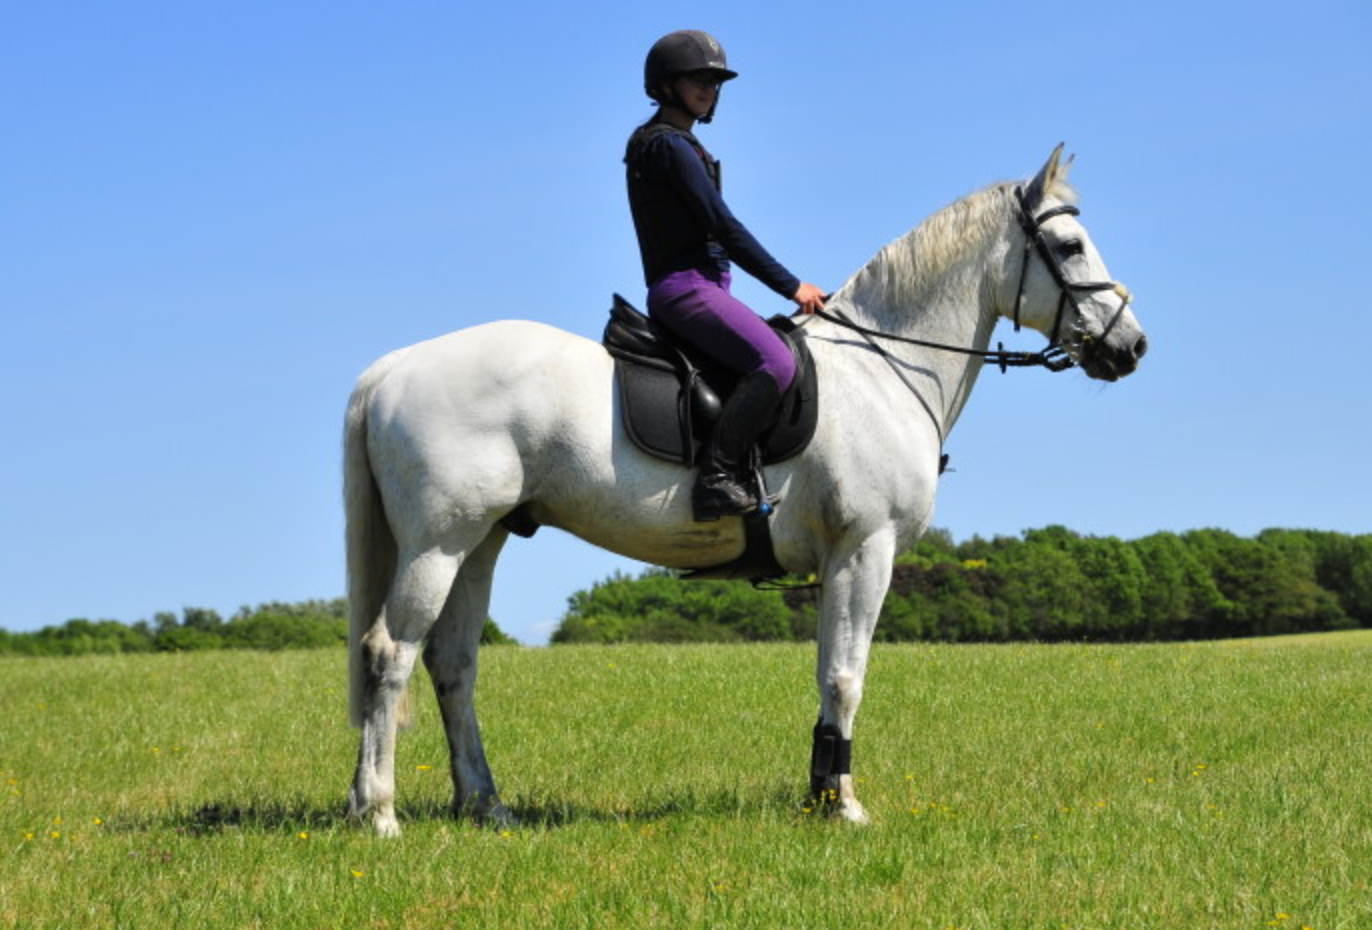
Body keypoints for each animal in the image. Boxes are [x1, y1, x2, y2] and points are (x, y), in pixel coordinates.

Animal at [344, 145, 1148, 836]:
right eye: (1070, 247)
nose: (1131, 345)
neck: (886, 365)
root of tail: (392, 368)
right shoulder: (866, 551)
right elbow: (847, 677)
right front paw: (844, 807)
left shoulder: (836, 565)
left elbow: (827, 675)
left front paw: (819, 797)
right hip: (438, 544)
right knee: (390, 653)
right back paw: (380, 813)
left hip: (479, 543)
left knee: (452, 665)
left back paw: (483, 805)